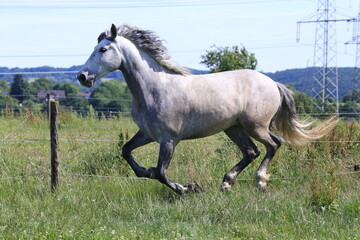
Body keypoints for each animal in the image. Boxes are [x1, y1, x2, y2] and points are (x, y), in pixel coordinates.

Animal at [76, 23, 338, 194]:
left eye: (103, 49)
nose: (82, 77)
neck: (155, 87)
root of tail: (272, 83)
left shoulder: (169, 139)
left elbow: (161, 172)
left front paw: (188, 188)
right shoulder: (148, 134)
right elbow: (128, 153)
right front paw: (148, 171)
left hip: (256, 125)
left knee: (273, 144)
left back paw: (260, 181)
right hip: (234, 128)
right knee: (251, 152)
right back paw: (227, 183)